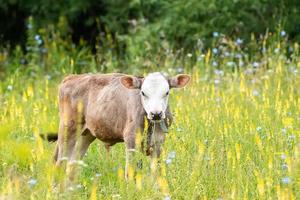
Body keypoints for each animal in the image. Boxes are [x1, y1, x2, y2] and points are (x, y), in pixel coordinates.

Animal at [54, 71, 190, 177]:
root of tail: (73, 77)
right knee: (60, 163)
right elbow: (130, 171)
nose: (156, 114)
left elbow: (155, 172)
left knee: (72, 164)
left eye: (166, 92)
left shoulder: (158, 142)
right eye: (143, 93)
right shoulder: (131, 139)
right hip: (68, 128)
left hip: (86, 134)